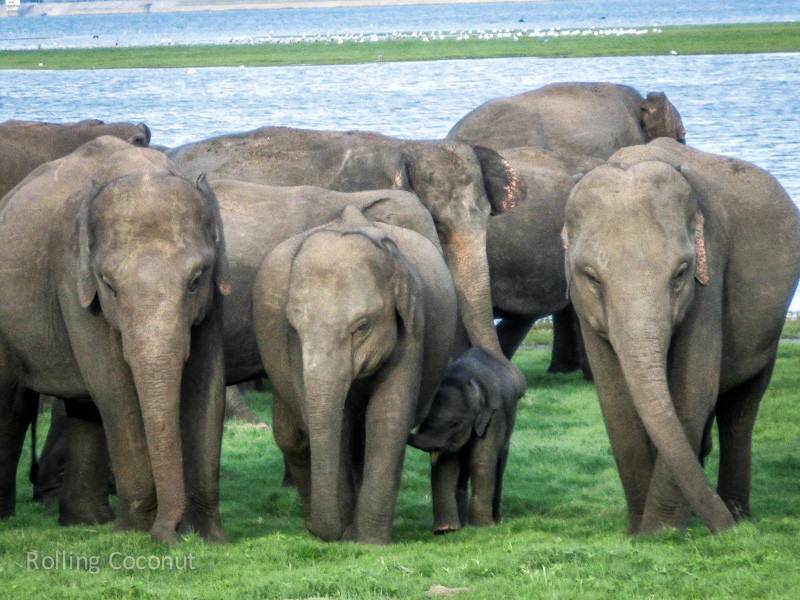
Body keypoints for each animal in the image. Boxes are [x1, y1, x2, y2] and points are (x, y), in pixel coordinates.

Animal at [0, 136, 230, 544]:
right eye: (109, 285)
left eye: (196, 279)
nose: (170, 534)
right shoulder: (72, 280)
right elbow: (114, 387)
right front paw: (135, 533)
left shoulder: (214, 298)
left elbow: (209, 383)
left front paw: (213, 539)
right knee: (12, 403)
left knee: (78, 409)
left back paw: (84, 522)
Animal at [252, 206, 458, 545]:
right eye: (294, 326)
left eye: (362, 326)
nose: (333, 533)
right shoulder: (293, 348)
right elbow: (338, 424)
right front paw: (350, 535)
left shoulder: (414, 326)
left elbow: (389, 415)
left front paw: (369, 543)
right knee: (292, 436)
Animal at [408, 347, 526, 533]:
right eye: (423, 421)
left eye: (455, 424)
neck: (462, 376)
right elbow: (447, 466)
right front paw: (446, 530)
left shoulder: (494, 417)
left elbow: (481, 461)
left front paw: (481, 527)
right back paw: (462, 524)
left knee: (499, 465)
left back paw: (496, 520)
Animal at [562, 137, 800, 535]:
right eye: (592, 277)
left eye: (680, 273)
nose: (729, 533)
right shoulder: (584, 309)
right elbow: (615, 400)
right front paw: (640, 533)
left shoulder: (710, 269)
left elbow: (693, 387)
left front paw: (661, 532)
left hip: (771, 328)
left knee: (741, 408)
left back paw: (737, 514)